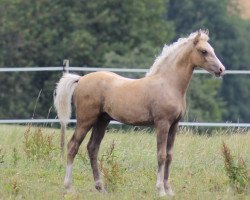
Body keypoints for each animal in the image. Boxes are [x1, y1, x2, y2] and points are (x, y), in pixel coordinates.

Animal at [54, 30, 225, 197]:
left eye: (212, 49)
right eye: (203, 51)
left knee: (92, 148)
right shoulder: (162, 123)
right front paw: (160, 190)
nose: (221, 69)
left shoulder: (174, 125)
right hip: (86, 120)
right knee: (73, 146)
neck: (169, 84)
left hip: (102, 120)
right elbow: (161, 155)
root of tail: (81, 79)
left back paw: (100, 188)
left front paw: (169, 190)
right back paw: (69, 187)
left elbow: (169, 156)